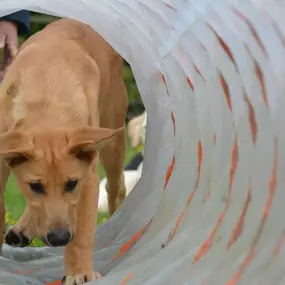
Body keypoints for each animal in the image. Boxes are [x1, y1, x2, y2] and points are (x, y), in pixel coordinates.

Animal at [0, 18, 127, 282]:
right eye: (35, 186)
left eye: (72, 184)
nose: (59, 239)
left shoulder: (87, 178)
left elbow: (82, 233)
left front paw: (80, 272)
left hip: (113, 140)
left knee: (116, 188)